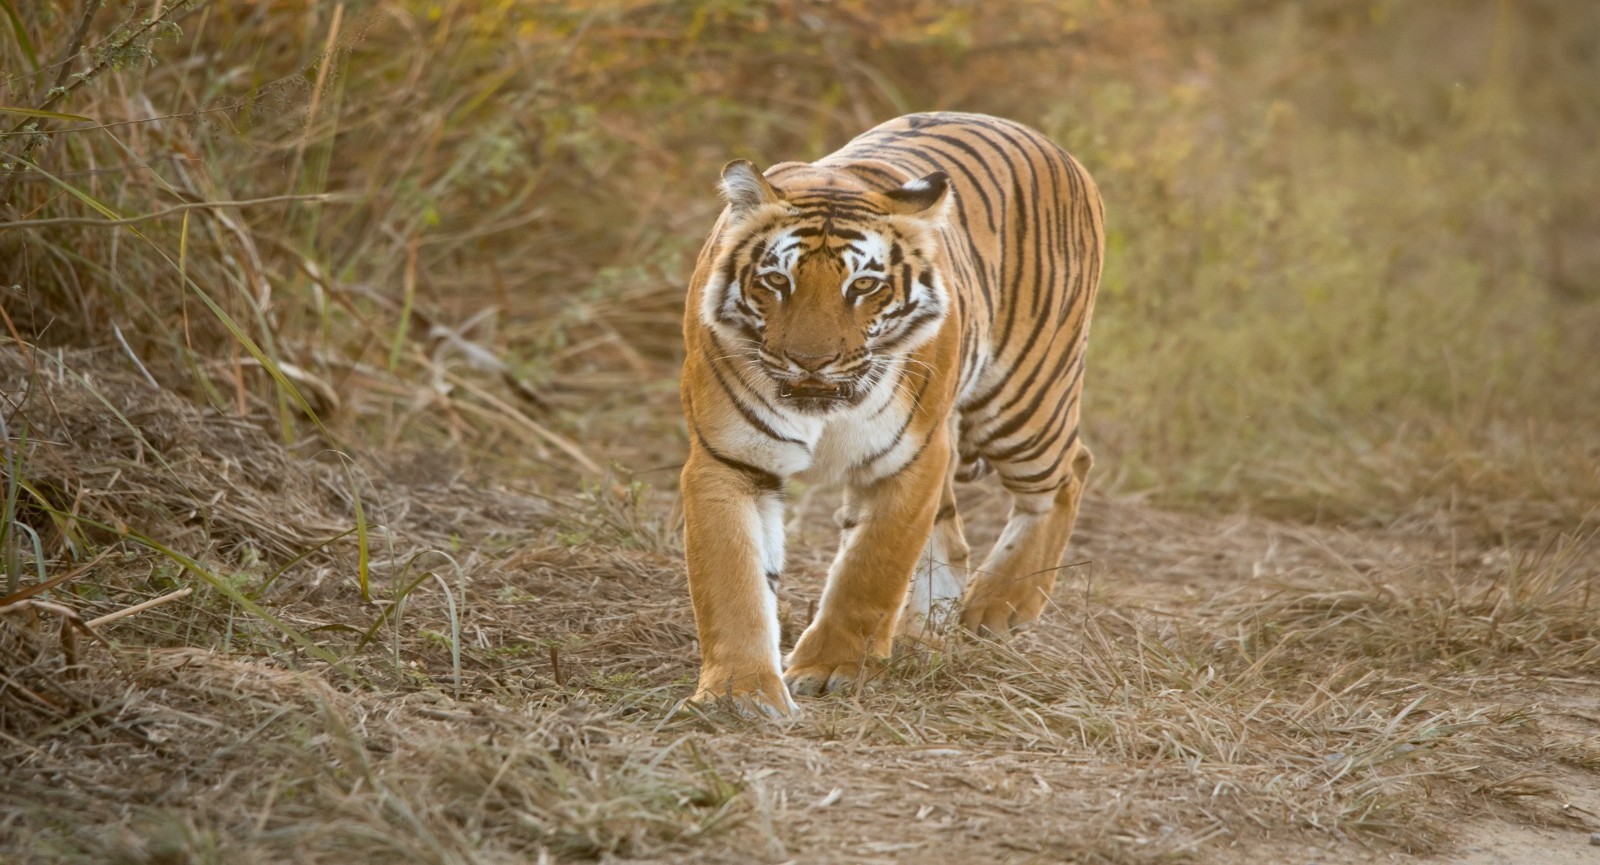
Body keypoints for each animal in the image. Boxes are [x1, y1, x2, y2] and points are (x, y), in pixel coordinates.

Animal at [680, 112, 1104, 717]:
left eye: (863, 285)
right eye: (777, 280)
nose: (810, 361)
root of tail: (1049, 143)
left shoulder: (911, 458)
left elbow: (871, 570)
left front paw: (831, 668)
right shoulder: (728, 461)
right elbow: (732, 581)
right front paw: (739, 693)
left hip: (1024, 398)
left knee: (1070, 472)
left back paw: (999, 606)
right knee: (956, 537)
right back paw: (922, 635)